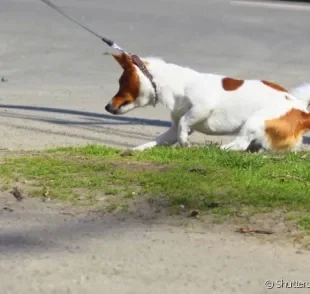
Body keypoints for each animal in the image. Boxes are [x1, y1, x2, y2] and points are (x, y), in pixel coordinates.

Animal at [104, 53, 310, 153]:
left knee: (240, 144)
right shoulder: (173, 128)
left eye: (121, 83)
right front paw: (136, 150)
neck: (173, 83)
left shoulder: (202, 108)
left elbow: (185, 123)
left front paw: (185, 143)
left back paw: (219, 149)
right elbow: (160, 139)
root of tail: (302, 110)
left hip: (256, 120)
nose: (106, 106)